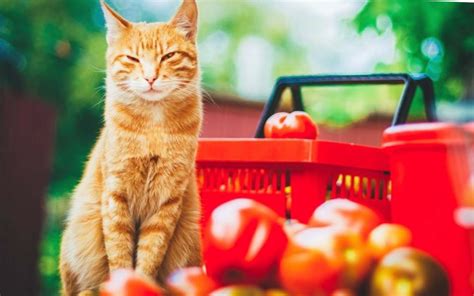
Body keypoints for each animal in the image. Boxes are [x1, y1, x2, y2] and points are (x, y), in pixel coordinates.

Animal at [58, 0, 202, 294]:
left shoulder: (167, 202)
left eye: (168, 56)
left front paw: (142, 283)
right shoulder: (116, 195)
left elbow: (150, 253)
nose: (150, 78)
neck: (153, 127)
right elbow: (119, 252)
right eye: (133, 59)